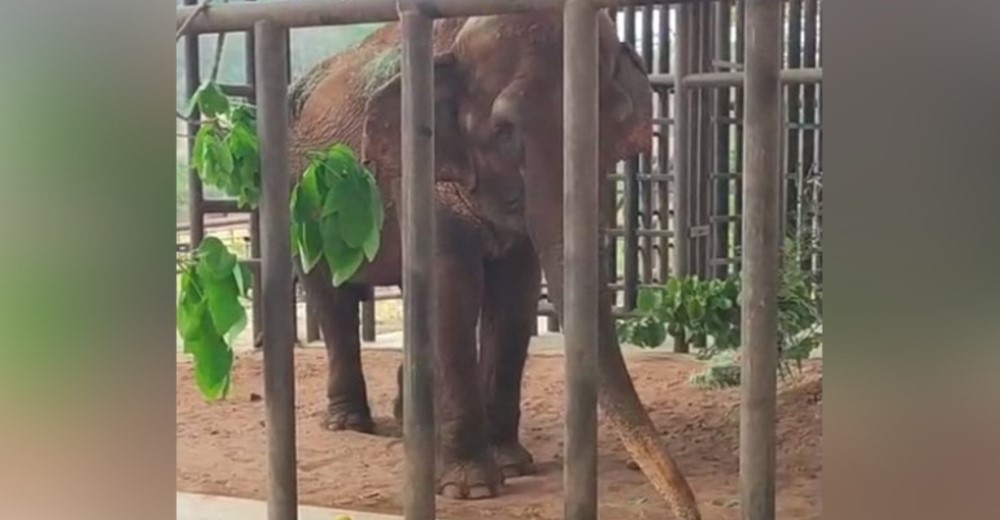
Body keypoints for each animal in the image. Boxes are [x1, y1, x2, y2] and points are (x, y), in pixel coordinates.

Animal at [286, 9, 700, 520]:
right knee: (330, 295)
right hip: (302, 199)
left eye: (611, 123)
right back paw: (349, 423)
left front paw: (512, 465)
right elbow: (452, 292)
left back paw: (407, 421)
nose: (690, 510)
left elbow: (514, 298)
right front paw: (473, 489)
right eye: (505, 132)